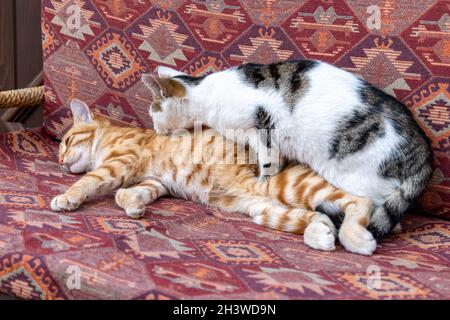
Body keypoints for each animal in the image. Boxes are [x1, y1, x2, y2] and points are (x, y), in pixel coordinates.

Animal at [51, 99, 376, 255]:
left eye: (65, 142)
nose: (61, 163)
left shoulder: (120, 162)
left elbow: (90, 181)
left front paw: (66, 197)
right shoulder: (156, 181)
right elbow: (127, 193)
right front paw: (134, 206)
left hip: (287, 186)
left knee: (361, 202)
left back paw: (356, 238)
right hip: (263, 208)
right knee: (318, 216)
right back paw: (319, 235)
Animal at [142, 60, 432, 240]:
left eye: (153, 111)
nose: (154, 128)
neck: (205, 93)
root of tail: (425, 155)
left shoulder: (263, 124)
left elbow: (268, 165)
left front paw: (262, 184)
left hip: (359, 179)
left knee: (384, 214)